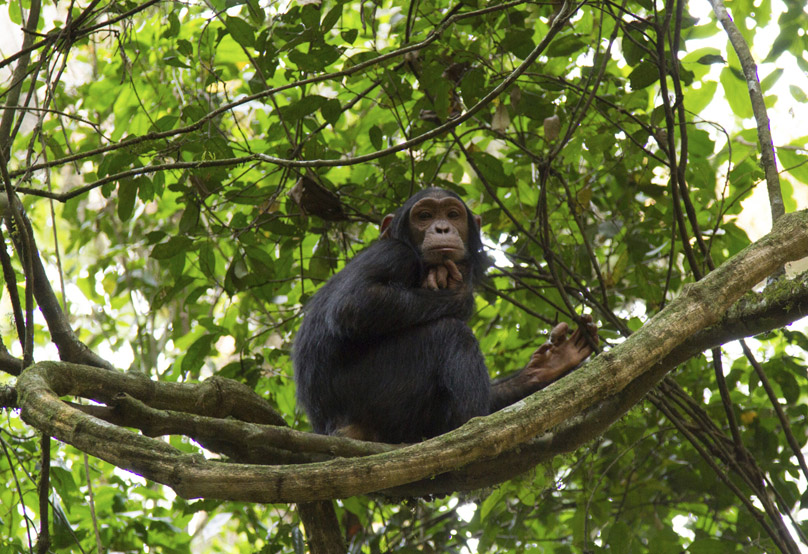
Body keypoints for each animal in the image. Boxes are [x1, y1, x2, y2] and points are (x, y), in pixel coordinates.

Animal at [294, 188, 596, 442]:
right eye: (424, 216)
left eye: (452, 214)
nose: (441, 228)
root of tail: (335, 428)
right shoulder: (393, 253)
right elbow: (353, 304)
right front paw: (459, 293)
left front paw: (549, 364)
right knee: (450, 332)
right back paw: (472, 427)